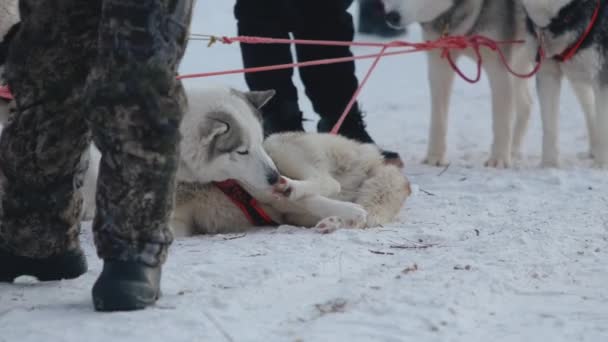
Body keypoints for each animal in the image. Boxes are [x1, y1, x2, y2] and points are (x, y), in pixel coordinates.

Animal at [169, 87, 410, 236]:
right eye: (243, 151)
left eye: (257, 143)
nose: (274, 177)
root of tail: (377, 160)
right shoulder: (177, 223)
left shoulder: (254, 186)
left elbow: (310, 199)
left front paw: (350, 211)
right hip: (294, 211)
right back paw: (332, 222)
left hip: (278, 146)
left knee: (329, 184)